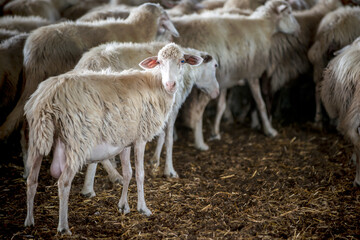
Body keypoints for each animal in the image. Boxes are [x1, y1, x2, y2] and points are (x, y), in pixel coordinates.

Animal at [23, 42, 204, 234]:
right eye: (160, 62)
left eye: (182, 61)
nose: (171, 84)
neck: (156, 85)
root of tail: (46, 100)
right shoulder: (140, 137)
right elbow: (140, 174)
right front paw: (143, 208)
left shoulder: (125, 141)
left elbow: (128, 173)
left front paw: (123, 206)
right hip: (76, 141)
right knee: (63, 183)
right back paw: (63, 227)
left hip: (37, 138)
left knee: (31, 180)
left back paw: (29, 221)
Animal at [73, 40, 218, 196]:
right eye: (215, 66)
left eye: (182, 60)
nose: (216, 92)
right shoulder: (170, 108)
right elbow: (169, 139)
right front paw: (169, 170)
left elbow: (161, 135)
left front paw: (155, 160)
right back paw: (101, 182)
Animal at [170, 0, 300, 142]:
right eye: (289, 12)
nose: (298, 29)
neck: (264, 27)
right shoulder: (252, 73)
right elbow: (260, 103)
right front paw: (269, 130)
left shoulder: (226, 78)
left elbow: (221, 106)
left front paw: (216, 131)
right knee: (197, 111)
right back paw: (199, 141)